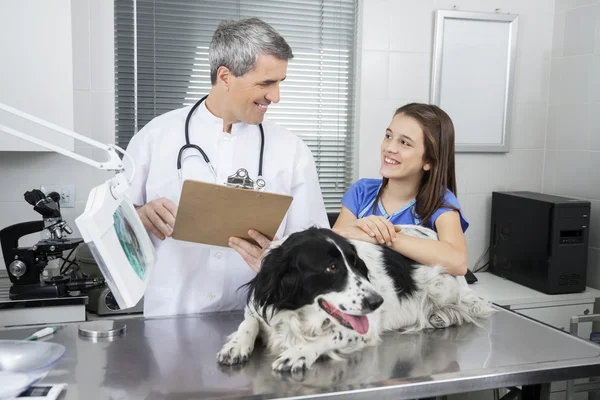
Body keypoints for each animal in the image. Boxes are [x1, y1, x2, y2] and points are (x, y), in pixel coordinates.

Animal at [218, 225, 494, 372]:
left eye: (356, 264)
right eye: (331, 268)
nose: (376, 302)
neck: (298, 313)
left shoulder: (363, 328)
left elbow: (330, 336)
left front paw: (299, 353)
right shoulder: (261, 304)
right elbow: (248, 323)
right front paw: (236, 346)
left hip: (442, 282)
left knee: (464, 308)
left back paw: (438, 317)